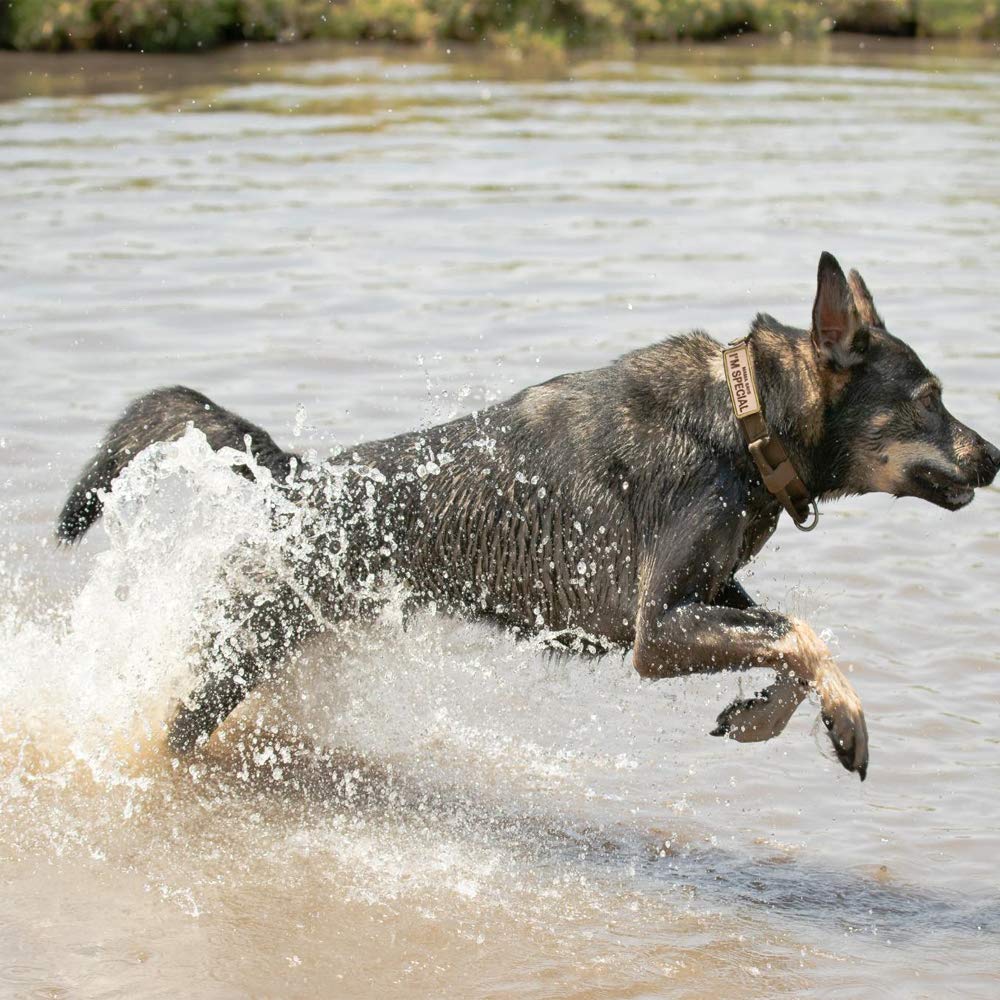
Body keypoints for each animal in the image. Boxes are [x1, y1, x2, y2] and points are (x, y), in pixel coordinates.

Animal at [58, 252, 996, 780]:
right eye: (929, 399)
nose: (994, 456)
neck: (746, 417)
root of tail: (301, 477)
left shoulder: (707, 595)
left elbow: (790, 642)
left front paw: (765, 718)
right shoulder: (657, 632)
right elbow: (803, 635)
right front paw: (846, 720)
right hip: (238, 652)